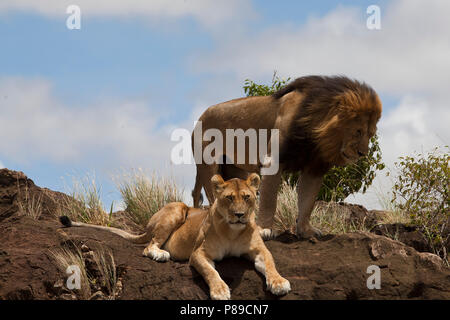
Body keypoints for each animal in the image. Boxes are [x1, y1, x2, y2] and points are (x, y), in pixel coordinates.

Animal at [59, 174, 288, 298]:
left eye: (247, 197)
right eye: (229, 198)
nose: (240, 215)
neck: (234, 231)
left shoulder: (260, 250)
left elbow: (270, 264)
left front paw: (279, 283)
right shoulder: (199, 253)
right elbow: (211, 272)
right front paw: (220, 290)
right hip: (177, 208)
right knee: (148, 246)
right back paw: (160, 254)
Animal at [192, 76, 382, 239]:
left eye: (370, 134)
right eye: (358, 131)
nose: (363, 153)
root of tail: (201, 116)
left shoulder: (315, 168)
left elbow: (307, 202)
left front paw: (306, 230)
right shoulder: (273, 160)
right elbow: (269, 199)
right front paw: (265, 230)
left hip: (235, 169)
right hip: (209, 165)